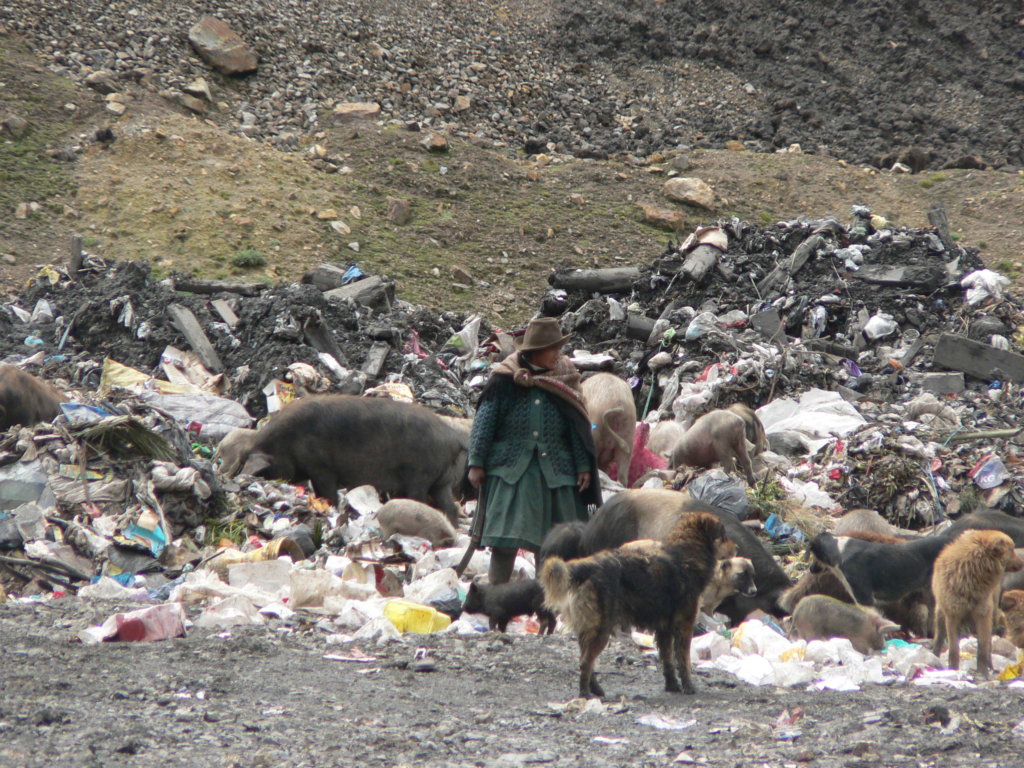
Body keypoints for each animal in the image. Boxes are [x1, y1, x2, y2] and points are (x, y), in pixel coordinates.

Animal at [540, 514, 733, 700]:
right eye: (723, 535)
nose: (736, 546)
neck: (687, 554)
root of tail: (587, 566)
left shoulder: (664, 628)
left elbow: (668, 660)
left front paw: (672, 686)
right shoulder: (684, 624)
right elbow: (683, 660)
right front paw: (688, 686)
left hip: (587, 627)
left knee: (586, 658)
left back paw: (595, 689)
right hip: (602, 628)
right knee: (585, 661)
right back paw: (585, 693)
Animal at [933, 532, 1019, 675]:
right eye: (1012, 549)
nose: (1022, 563)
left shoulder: (982, 614)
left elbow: (983, 649)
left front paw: (983, 673)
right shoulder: (953, 615)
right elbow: (953, 650)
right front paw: (953, 669)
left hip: (991, 613)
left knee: (989, 643)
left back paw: (991, 667)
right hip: (940, 614)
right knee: (938, 638)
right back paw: (935, 656)